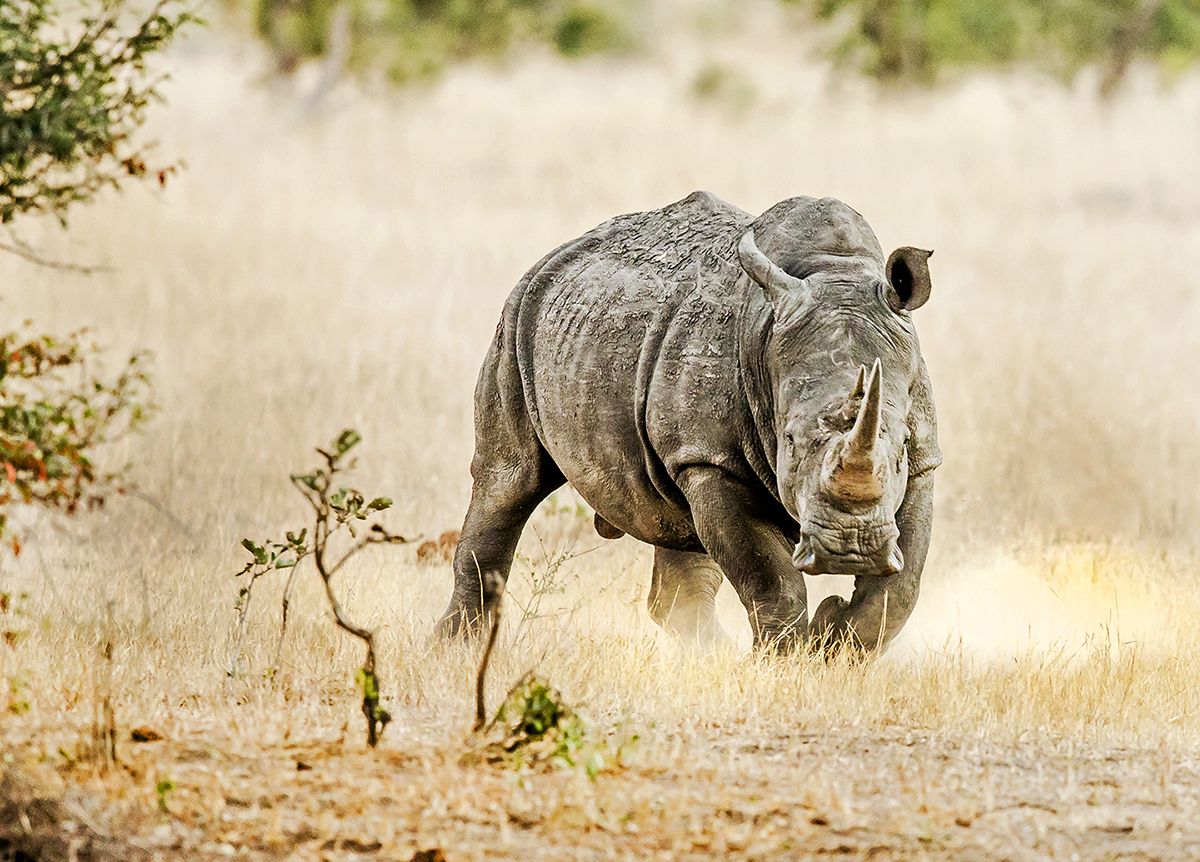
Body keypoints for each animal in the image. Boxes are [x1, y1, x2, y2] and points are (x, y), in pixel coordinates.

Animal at [437, 192, 941, 652]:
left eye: (900, 445)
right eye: (789, 441)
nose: (849, 549)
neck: (834, 268)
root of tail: (558, 252)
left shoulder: (923, 462)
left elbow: (902, 587)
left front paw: (834, 640)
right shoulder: (708, 458)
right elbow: (771, 581)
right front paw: (787, 661)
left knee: (679, 535)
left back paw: (712, 658)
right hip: (518, 316)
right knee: (509, 481)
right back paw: (456, 650)